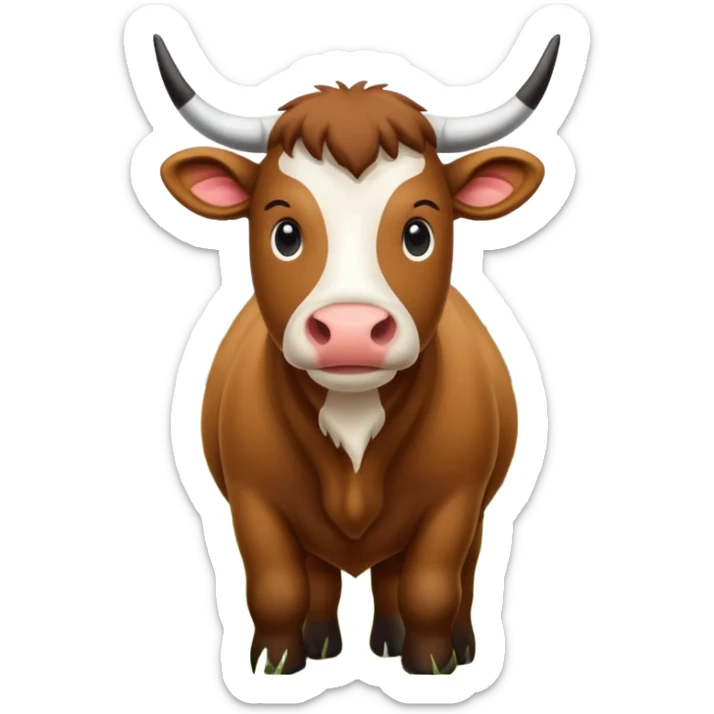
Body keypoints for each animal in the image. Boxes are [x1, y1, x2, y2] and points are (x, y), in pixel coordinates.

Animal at [151, 34, 559, 675]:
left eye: (418, 233)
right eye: (285, 233)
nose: (350, 328)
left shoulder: (456, 500)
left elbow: (431, 582)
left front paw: (431, 663)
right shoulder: (252, 499)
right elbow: (275, 584)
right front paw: (276, 662)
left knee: (437, 577)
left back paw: (436, 644)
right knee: (321, 579)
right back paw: (323, 643)